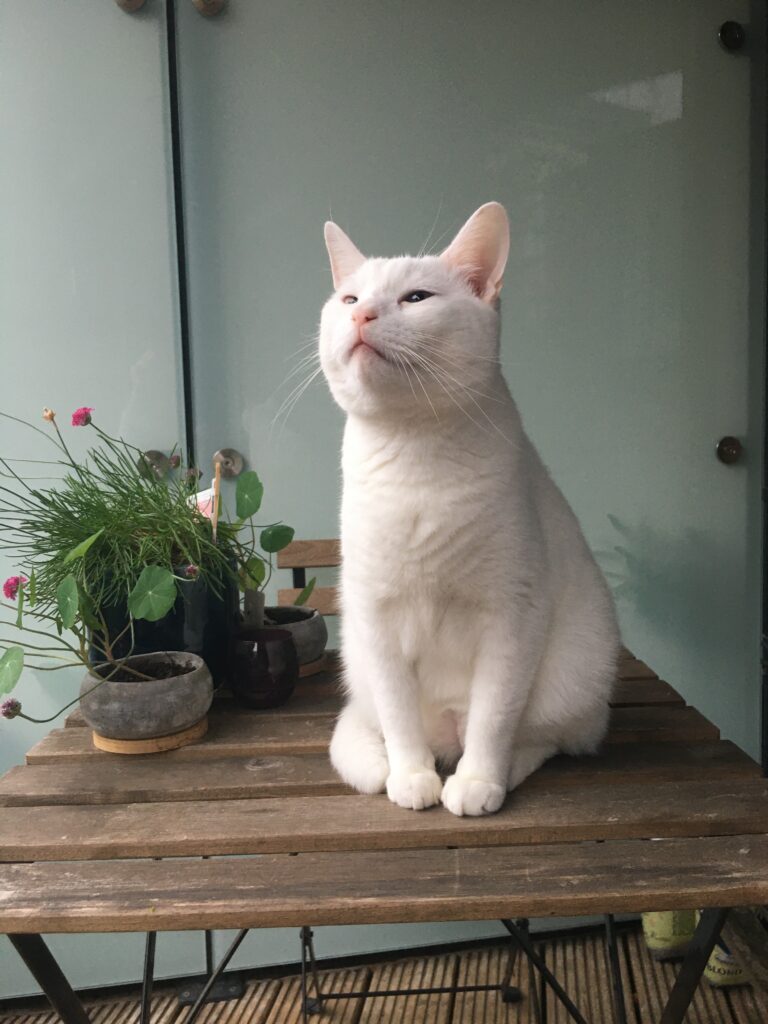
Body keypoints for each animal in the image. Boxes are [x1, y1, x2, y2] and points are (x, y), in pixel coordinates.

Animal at [317, 203, 618, 819]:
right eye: (350, 299)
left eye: (416, 298)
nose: (363, 315)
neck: (414, 453)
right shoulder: (376, 615)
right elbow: (399, 718)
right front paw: (410, 776)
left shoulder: (512, 616)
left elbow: (493, 718)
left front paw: (478, 782)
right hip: (357, 659)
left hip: (577, 671)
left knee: (542, 738)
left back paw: (495, 773)